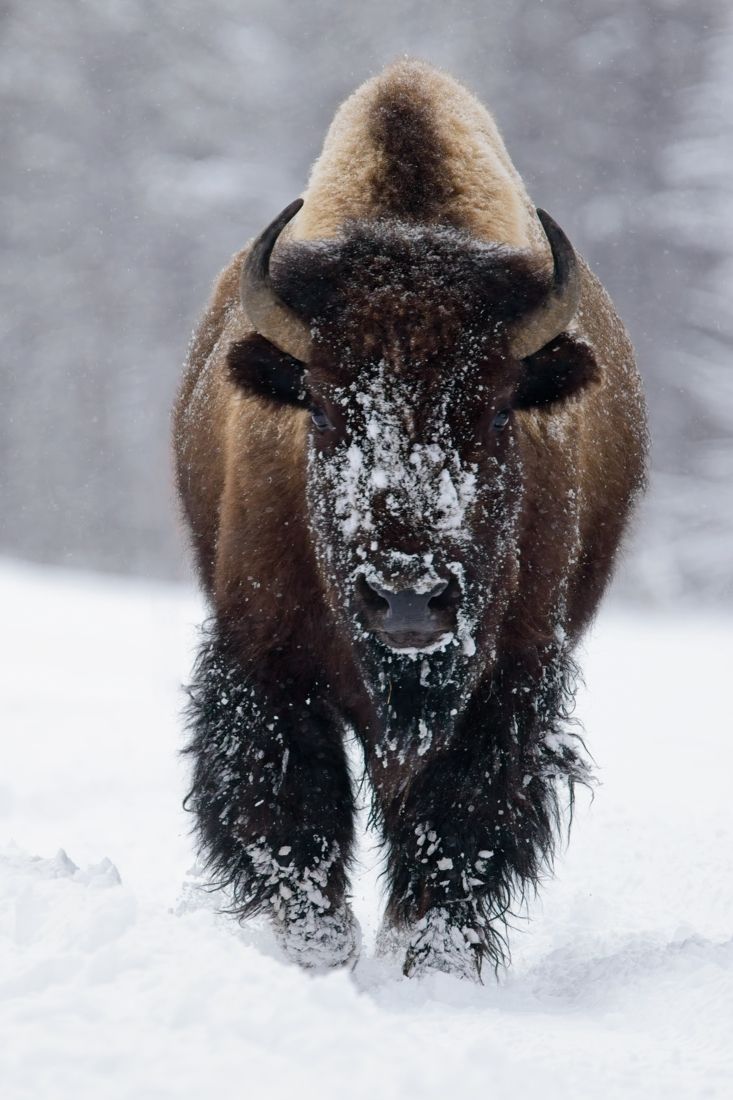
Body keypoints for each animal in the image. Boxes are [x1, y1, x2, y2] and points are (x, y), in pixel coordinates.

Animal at [174, 60, 647, 979]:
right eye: (323, 410)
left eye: (497, 412)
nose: (405, 598)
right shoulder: (264, 661)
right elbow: (292, 822)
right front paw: (320, 957)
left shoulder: (507, 682)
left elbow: (457, 832)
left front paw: (425, 967)